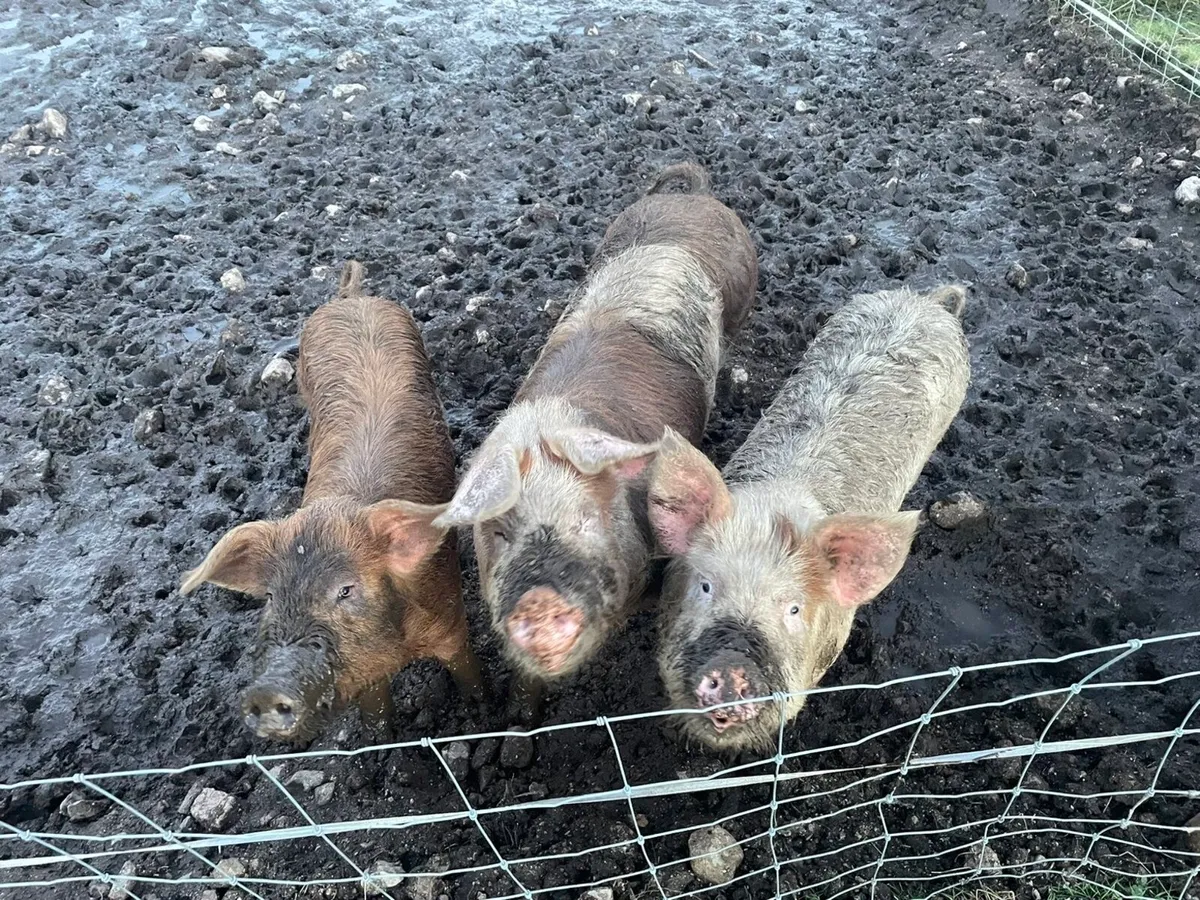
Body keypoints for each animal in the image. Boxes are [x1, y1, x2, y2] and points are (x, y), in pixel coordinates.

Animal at [180, 260, 483, 742]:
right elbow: (376, 715)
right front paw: (383, 743)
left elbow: (469, 676)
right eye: (270, 595)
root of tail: (351, 299)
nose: (266, 691)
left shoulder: (451, 619)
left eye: (346, 589)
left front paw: (485, 710)